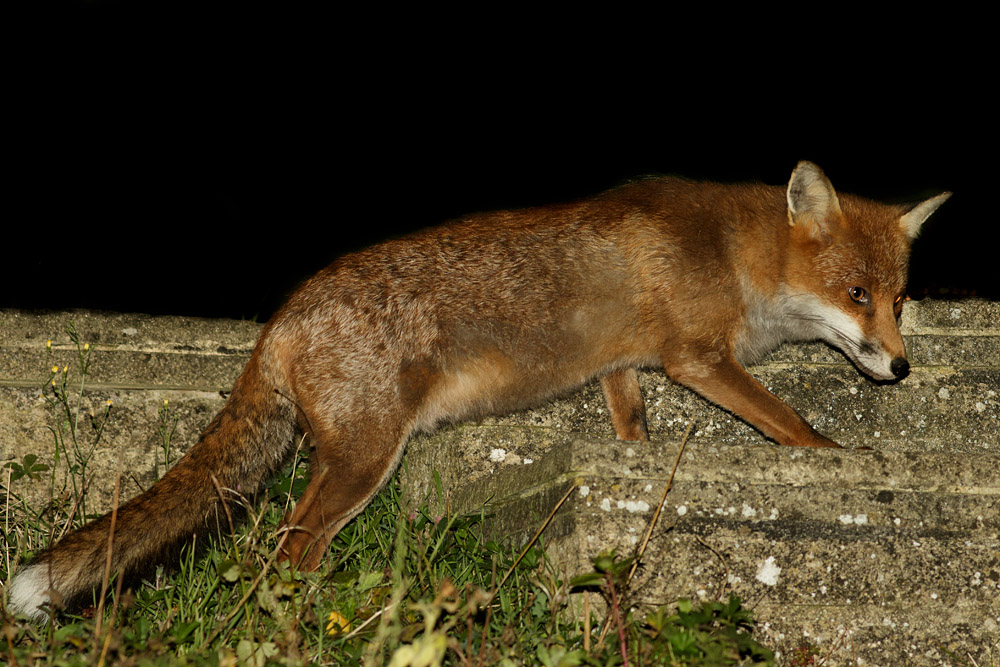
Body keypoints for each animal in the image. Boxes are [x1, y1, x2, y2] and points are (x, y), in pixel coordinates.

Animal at [7, 161, 949, 620]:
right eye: (856, 294)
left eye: (900, 297)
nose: (903, 368)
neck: (732, 252)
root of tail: (281, 317)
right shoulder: (698, 358)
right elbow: (787, 421)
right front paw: (837, 454)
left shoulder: (622, 364)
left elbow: (631, 427)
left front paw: (635, 458)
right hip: (364, 462)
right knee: (285, 551)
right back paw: (312, 614)